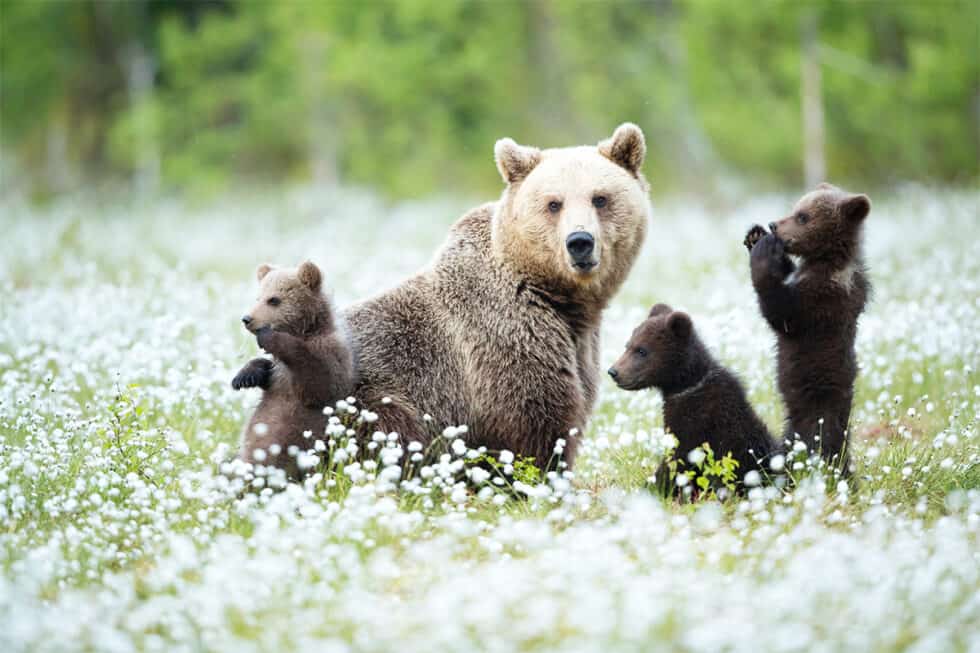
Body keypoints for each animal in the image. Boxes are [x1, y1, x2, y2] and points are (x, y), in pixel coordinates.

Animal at [233, 260, 356, 478]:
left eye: (274, 299)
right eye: (258, 297)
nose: (247, 319)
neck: (306, 330)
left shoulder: (331, 354)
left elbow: (318, 382)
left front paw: (269, 337)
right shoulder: (278, 373)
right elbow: (267, 370)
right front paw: (244, 376)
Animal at [342, 123, 652, 468]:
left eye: (600, 198)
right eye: (554, 203)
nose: (580, 242)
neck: (558, 298)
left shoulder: (580, 346)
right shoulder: (505, 340)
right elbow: (536, 422)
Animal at [608, 304, 776, 492]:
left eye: (642, 350)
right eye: (628, 345)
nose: (613, 372)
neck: (685, 385)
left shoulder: (698, 423)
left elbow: (677, 460)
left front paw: (652, 486)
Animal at [744, 183, 872, 474]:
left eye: (803, 216)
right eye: (795, 209)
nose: (774, 224)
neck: (825, 260)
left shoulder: (821, 301)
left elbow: (781, 314)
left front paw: (763, 252)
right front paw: (755, 236)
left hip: (816, 407)